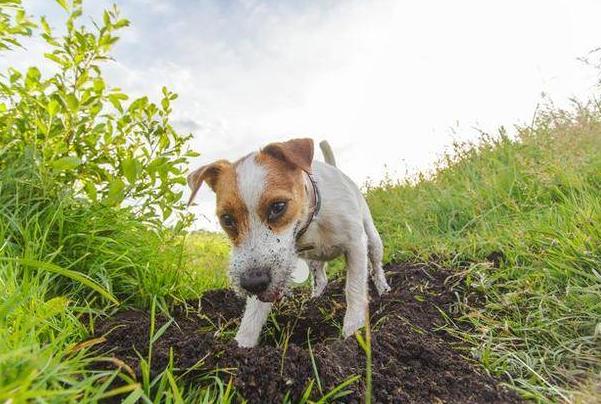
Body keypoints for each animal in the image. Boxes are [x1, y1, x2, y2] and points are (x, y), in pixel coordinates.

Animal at [189, 139, 394, 348]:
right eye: (227, 219)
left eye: (278, 207)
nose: (252, 283)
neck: (311, 220)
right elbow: (253, 314)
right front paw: (241, 344)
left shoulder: (355, 246)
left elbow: (354, 289)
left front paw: (353, 331)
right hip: (312, 261)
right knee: (321, 278)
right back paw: (315, 299)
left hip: (373, 239)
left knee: (376, 266)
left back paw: (383, 289)